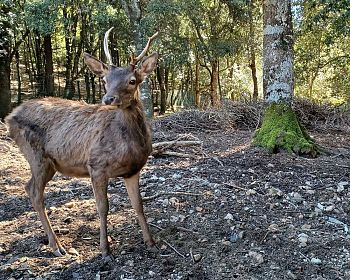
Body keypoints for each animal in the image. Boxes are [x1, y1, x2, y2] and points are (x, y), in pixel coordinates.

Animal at [5, 28, 159, 258]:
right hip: (36, 156)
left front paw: (150, 242)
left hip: (49, 164)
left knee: (28, 187)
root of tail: (9, 117)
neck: (130, 145)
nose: (108, 99)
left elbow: (138, 204)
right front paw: (105, 249)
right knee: (34, 192)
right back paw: (57, 246)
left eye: (132, 80)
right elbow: (102, 207)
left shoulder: (133, 170)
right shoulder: (96, 166)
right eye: (105, 80)